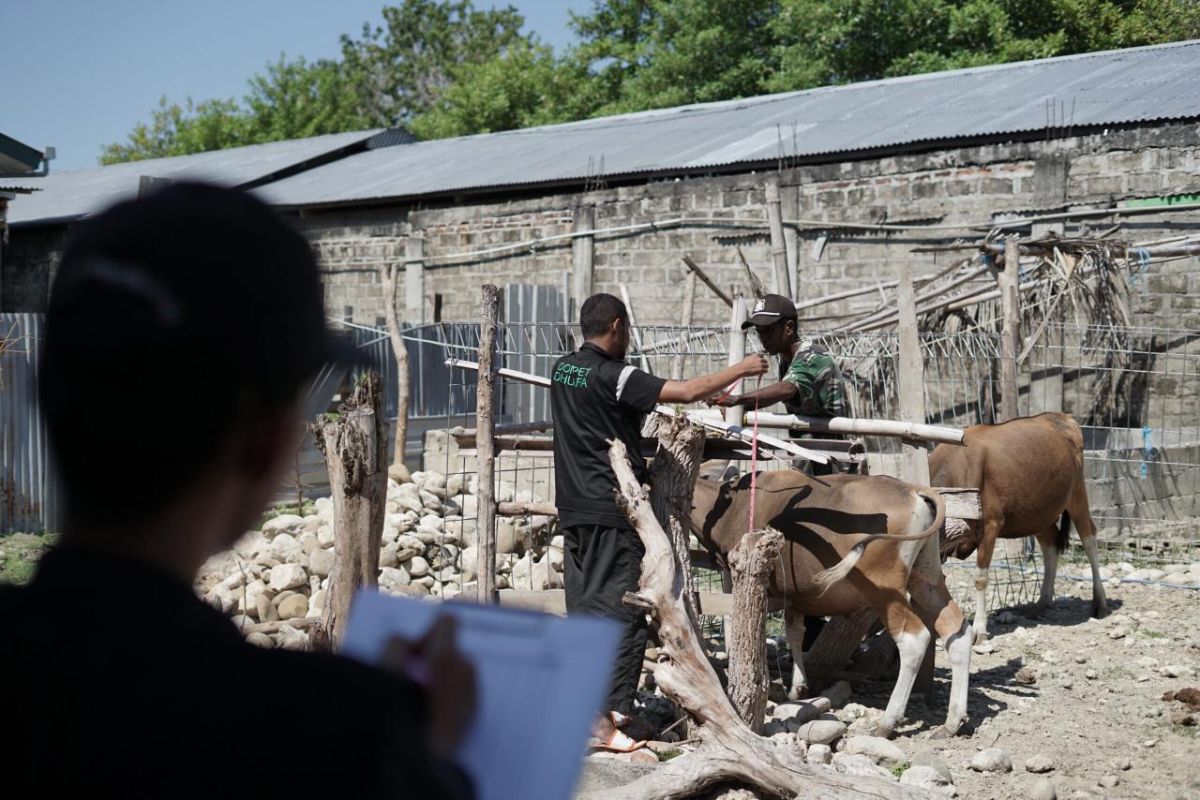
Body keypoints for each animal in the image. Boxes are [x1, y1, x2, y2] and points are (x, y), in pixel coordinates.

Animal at [686, 470, 974, 738]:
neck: (733, 506)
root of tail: (913, 490)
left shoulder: (745, 577)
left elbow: (738, 623)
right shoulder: (795, 595)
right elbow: (794, 631)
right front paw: (798, 687)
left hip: (884, 588)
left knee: (913, 639)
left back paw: (887, 723)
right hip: (926, 576)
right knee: (957, 631)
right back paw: (952, 723)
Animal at [926, 412, 1113, 642]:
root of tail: (1062, 417)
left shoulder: (990, 525)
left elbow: (980, 578)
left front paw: (979, 628)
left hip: (1077, 493)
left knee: (1089, 539)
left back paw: (1100, 602)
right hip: (1039, 512)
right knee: (1051, 547)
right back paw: (1042, 602)